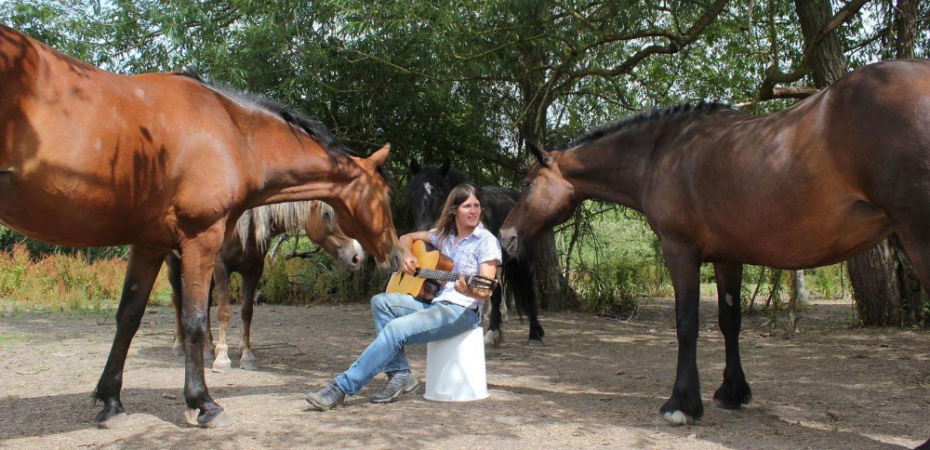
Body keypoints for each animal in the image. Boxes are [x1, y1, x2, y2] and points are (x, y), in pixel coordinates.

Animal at [169, 200, 364, 372]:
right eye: (327, 213)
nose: (357, 256)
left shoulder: (254, 269)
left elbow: (247, 312)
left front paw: (247, 356)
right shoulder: (220, 267)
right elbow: (223, 312)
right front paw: (222, 359)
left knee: (206, 303)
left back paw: (208, 348)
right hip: (174, 261)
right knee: (178, 300)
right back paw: (179, 345)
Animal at [406, 160, 544, 346]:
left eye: (441, 196)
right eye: (414, 195)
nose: (425, 230)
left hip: (523, 260)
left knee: (528, 291)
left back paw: (534, 334)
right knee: (497, 292)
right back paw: (494, 332)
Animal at [500, 59, 930, 446]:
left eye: (526, 183)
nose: (505, 236)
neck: (662, 152)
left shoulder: (680, 252)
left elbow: (686, 323)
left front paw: (681, 405)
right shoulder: (728, 258)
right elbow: (729, 322)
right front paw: (732, 392)